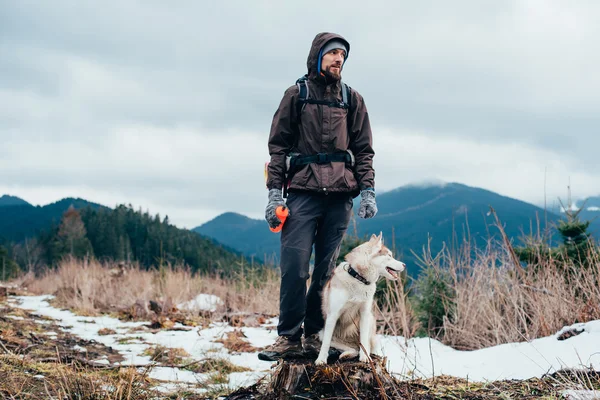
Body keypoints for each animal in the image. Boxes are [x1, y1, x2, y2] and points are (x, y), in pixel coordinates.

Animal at [314, 231, 408, 366]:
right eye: (389, 256)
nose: (404, 265)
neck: (358, 278)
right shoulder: (333, 315)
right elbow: (326, 343)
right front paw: (321, 359)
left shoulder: (364, 313)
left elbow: (364, 340)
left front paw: (365, 358)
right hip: (323, 333)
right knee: (352, 348)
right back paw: (346, 355)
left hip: (370, 321)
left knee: (363, 345)